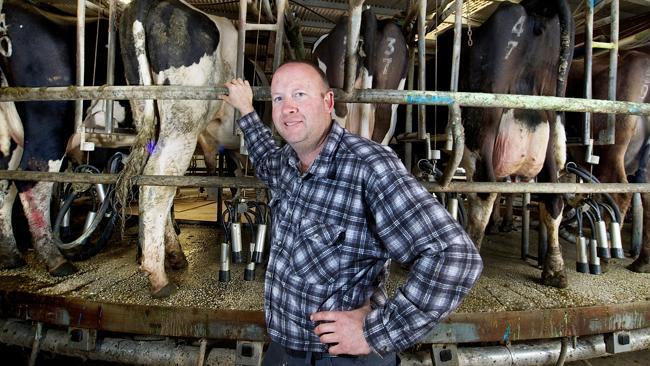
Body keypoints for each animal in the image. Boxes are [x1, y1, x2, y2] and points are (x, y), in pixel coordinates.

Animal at [430, 0, 572, 288]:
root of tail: (533, 9)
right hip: (549, 122)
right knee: (552, 197)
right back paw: (555, 268)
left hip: (481, 123)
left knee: (484, 190)